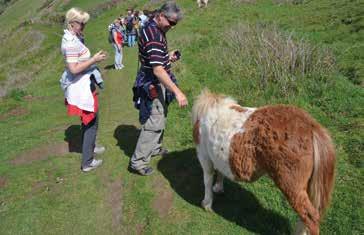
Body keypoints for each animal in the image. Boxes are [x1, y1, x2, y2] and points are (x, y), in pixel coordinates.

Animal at [192, 89, 336, 234]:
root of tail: (311, 127)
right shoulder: (216, 155)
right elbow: (220, 172)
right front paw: (218, 188)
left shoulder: (204, 156)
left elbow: (207, 180)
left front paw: (207, 203)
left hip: (292, 186)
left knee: (311, 217)